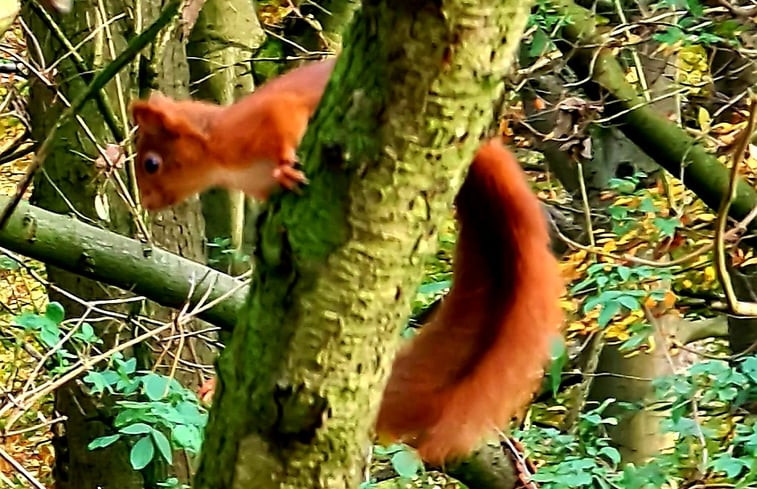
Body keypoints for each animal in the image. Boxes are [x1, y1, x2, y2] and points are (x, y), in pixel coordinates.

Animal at [130, 58, 560, 466]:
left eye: (151, 163)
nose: (146, 202)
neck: (222, 157)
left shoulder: (262, 120)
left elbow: (284, 123)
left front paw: (286, 164)